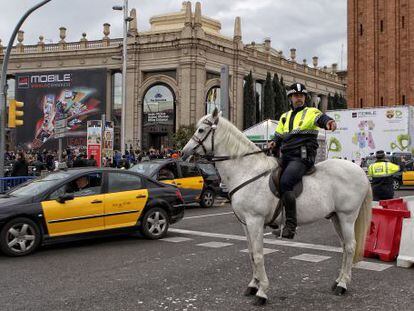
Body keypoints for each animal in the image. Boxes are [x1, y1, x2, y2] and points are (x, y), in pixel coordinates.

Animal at [181, 109, 372, 308]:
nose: (183, 152)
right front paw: (253, 285)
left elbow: (258, 255)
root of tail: (360, 171)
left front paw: (262, 291)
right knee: (344, 247)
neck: (247, 171)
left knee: (350, 247)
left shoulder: (255, 221)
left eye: (201, 130)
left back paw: (342, 285)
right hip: (335, 217)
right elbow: (251, 253)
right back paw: (338, 281)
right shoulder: (245, 224)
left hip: (347, 217)